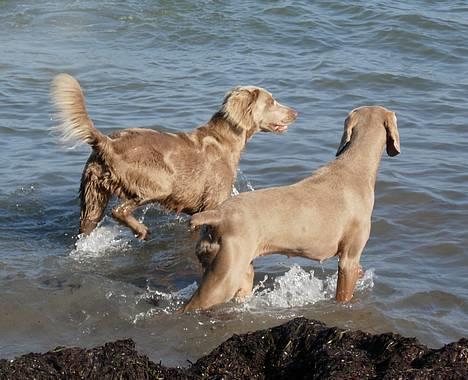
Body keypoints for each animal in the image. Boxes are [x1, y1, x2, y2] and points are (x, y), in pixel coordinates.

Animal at [51, 74, 296, 239]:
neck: (225, 140)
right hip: (159, 181)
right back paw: (142, 230)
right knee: (119, 210)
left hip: (92, 195)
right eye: (271, 101)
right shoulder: (212, 202)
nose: (295, 113)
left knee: (87, 224)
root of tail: (107, 143)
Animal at [182, 105, 398, 310]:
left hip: (235, 267)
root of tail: (217, 214)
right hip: (225, 275)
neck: (355, 167)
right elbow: (344, 293)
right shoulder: (349, 258)